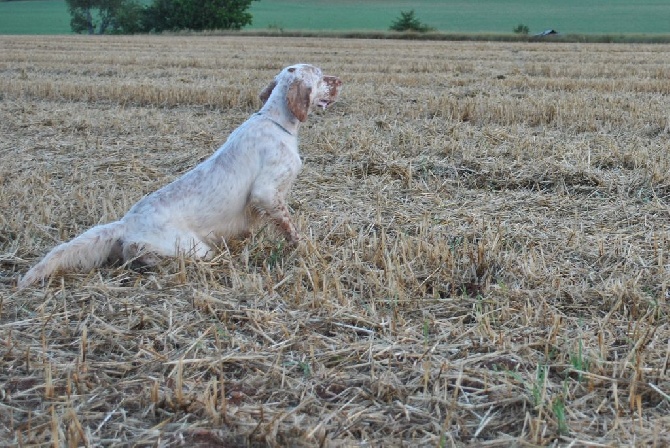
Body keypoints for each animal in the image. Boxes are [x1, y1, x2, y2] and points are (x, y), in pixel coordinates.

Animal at [19, 63, 346, 288]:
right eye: (319, 75)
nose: (341, 80)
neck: (277, 122)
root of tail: (126, 223)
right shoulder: (266, 192)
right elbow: (290, 227)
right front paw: (304, 251)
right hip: (194, 247)